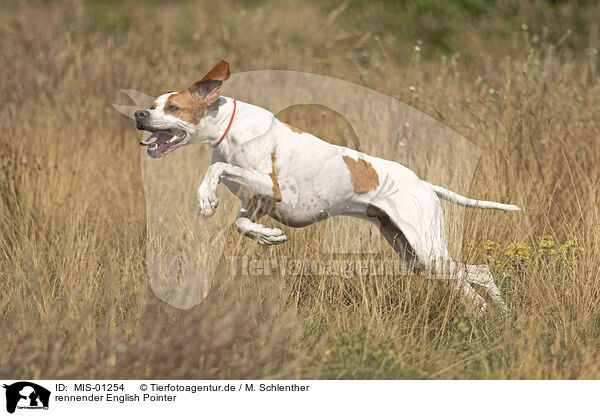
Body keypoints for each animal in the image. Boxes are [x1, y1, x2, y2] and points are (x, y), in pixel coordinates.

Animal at [135, 58, 520, 312]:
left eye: (173, 107)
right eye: (153, 105)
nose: (139, 114)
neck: (228, 128)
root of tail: (423, 183)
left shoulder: (270, 185)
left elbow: (215, 171)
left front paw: (205, 198)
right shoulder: (260, 201)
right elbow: (241, 223)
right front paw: (268, 236)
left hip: (426, 249)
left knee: (471, 280)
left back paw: (483, 312)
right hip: (413, 255)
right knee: (478, 273)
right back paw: (500, 313)